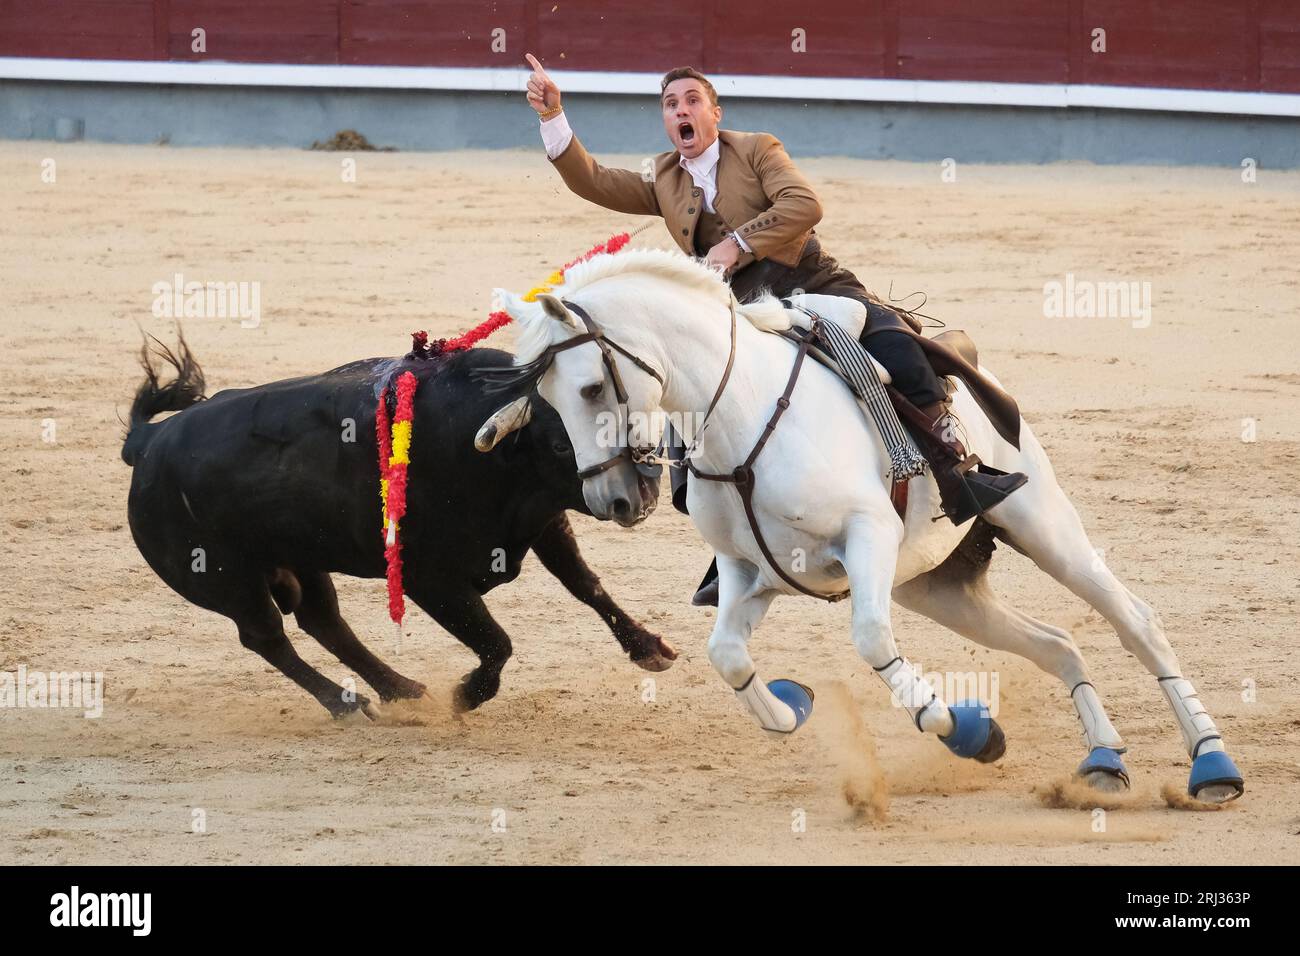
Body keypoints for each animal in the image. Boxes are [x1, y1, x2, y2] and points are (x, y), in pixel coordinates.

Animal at [122, 335, 676, 717]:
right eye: (562, 444)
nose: (638, 500)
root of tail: (148, 443)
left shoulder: (543, 522)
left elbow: (586, 585)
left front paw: (649, 648)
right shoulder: (428, 579)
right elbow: (497, 641)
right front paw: (466, 695)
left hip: (301, 560)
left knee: (324, 622)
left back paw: (400, 690)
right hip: (224, 579)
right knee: (268, 636)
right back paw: (348, 705)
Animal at [475, 247, 1237, 801]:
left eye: (590, 388)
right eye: (546, 399)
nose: (615, 502)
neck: (741, 414)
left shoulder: (867, 537)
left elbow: (871, 640)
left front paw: (967, 731)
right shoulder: (753, 574)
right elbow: (728, 657)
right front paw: (791, 707)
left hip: (1041, 522)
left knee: (1135, 621)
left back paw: (1211, 765)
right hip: (935, 584)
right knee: (1057, 643)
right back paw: (1105, 757)